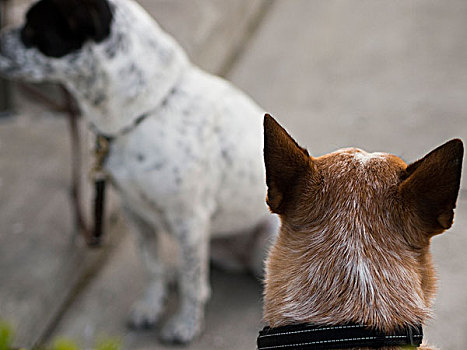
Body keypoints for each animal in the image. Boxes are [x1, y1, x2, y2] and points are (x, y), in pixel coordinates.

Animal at [0, 0, 278, 344]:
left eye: (32, 29)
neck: (140, 114)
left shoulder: (188, 220)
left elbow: (192, 285)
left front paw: (185, 326)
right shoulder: (136, 214)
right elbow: (152, 267)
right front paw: (150, 306)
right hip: (208, 238)